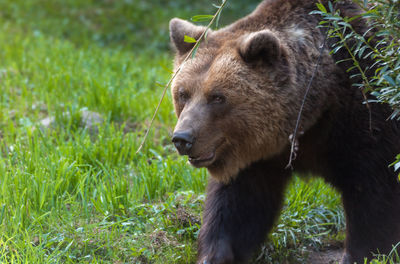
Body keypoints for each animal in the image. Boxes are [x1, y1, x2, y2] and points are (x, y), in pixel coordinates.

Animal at [168, 1, 400, 262]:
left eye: (217, 97)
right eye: (183, 94)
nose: (182, 138)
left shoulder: (365, 112)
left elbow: (373, 195)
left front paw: (364, 254)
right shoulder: (255, 154)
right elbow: (240, 205)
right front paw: (215, 254)